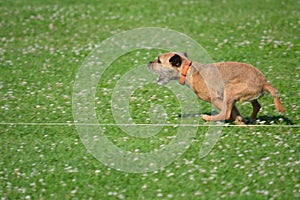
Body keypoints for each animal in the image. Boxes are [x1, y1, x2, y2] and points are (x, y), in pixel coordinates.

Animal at [149, 52, 284, 123]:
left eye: (159, 61)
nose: (149, 63)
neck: (187, 71)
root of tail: (263, 81)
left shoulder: (216, 98)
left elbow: (228, 113)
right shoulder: (228, 101)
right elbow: (235, 113)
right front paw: (240, 121)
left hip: (230, 89)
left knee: (225, 114)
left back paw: (208, 118)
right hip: (246, 94)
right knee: (257, 105)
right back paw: (250, 119)